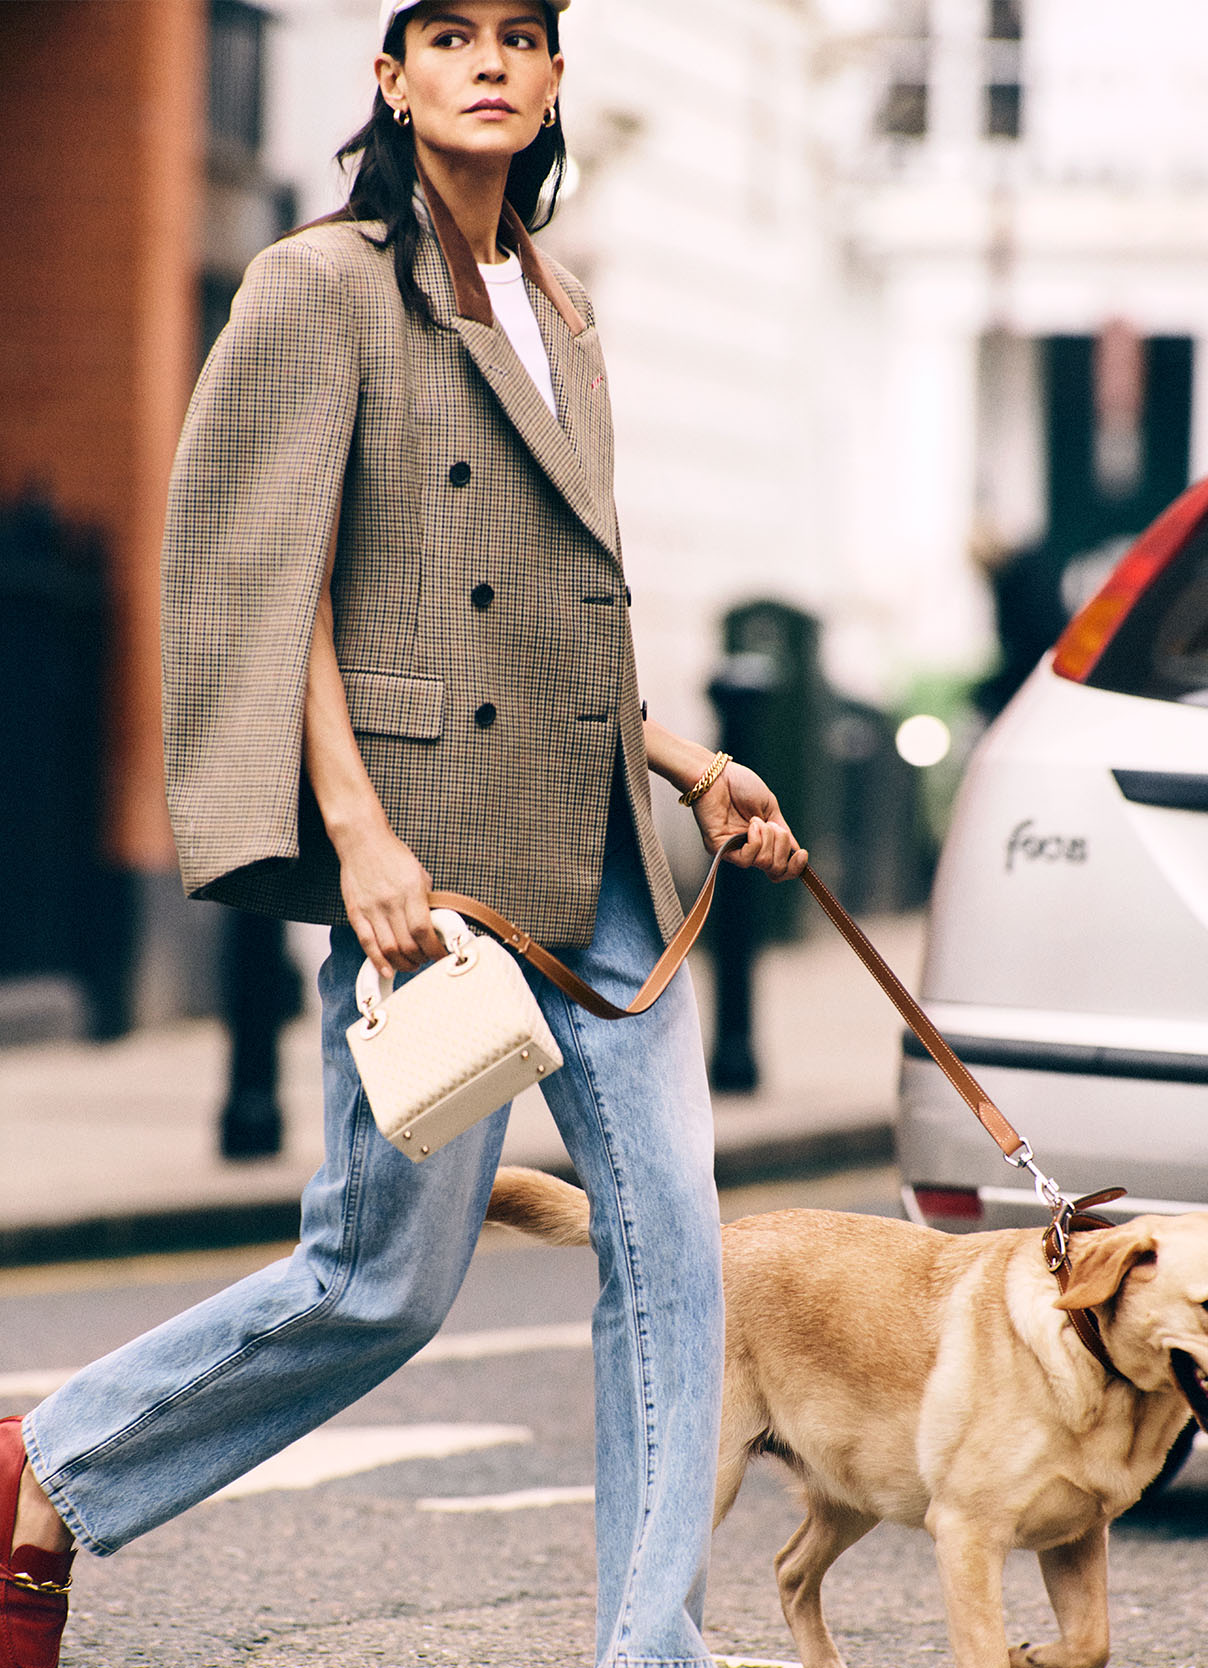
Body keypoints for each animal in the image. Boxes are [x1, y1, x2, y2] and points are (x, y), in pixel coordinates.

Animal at [487, 1167, 1208, 1668]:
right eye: (1206, 1302)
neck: (1092, 1358)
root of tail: (717, 1236)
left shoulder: (1075, 1539)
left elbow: (1091, 1641)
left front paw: (1031, 1654)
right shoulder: (967, 1538)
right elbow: (985, 1650)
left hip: (856, 1490)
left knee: (791, 1570)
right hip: (709, 1481)